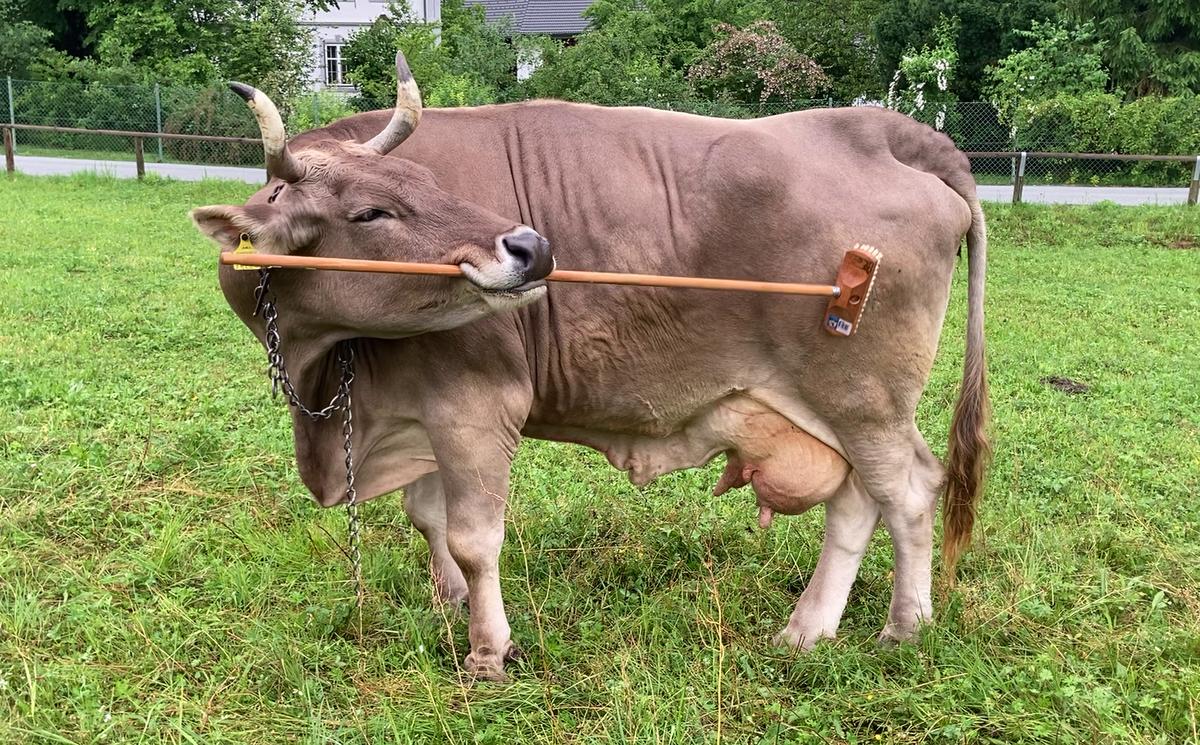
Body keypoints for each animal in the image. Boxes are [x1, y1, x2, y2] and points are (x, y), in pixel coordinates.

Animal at [191, 53, 989, 681]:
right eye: (369, 213)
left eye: (429, 181)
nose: (532, 246)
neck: (327, 373)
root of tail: (889, 131)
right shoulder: (414, 409)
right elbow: (427, 517)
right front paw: (447, 602)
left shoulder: (475, 404)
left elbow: (474, 538)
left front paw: (488, 649)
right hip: (836, 410)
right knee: (856, 499)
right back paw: (808, 629)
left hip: (865, 399)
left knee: (908, 492)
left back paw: (904, 626)